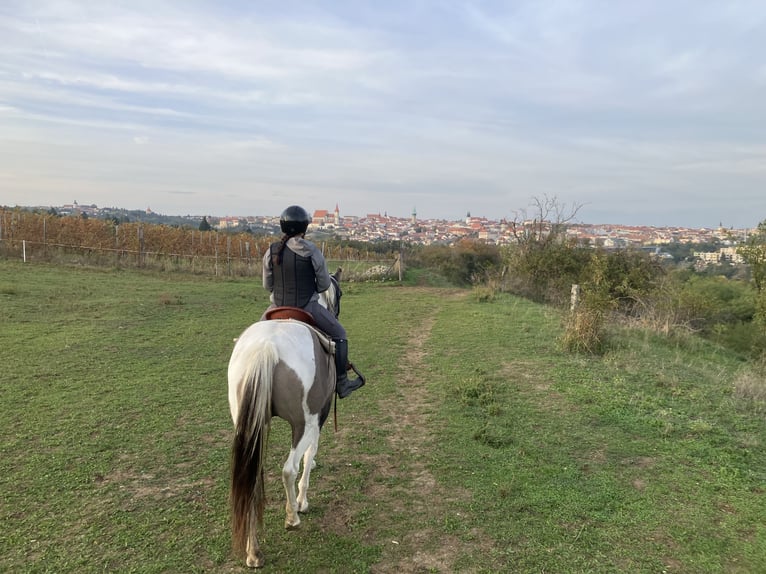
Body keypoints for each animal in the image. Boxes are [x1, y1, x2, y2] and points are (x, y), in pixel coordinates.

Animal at [227, 270, 342, 568]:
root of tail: (266, 347)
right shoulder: (317, 418)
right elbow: (309, 455)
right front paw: (302, 502)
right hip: (302, 424)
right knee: (288, 469)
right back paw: (293, 518)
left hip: (249, 427)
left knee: (252, 482)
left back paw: (253, 552)